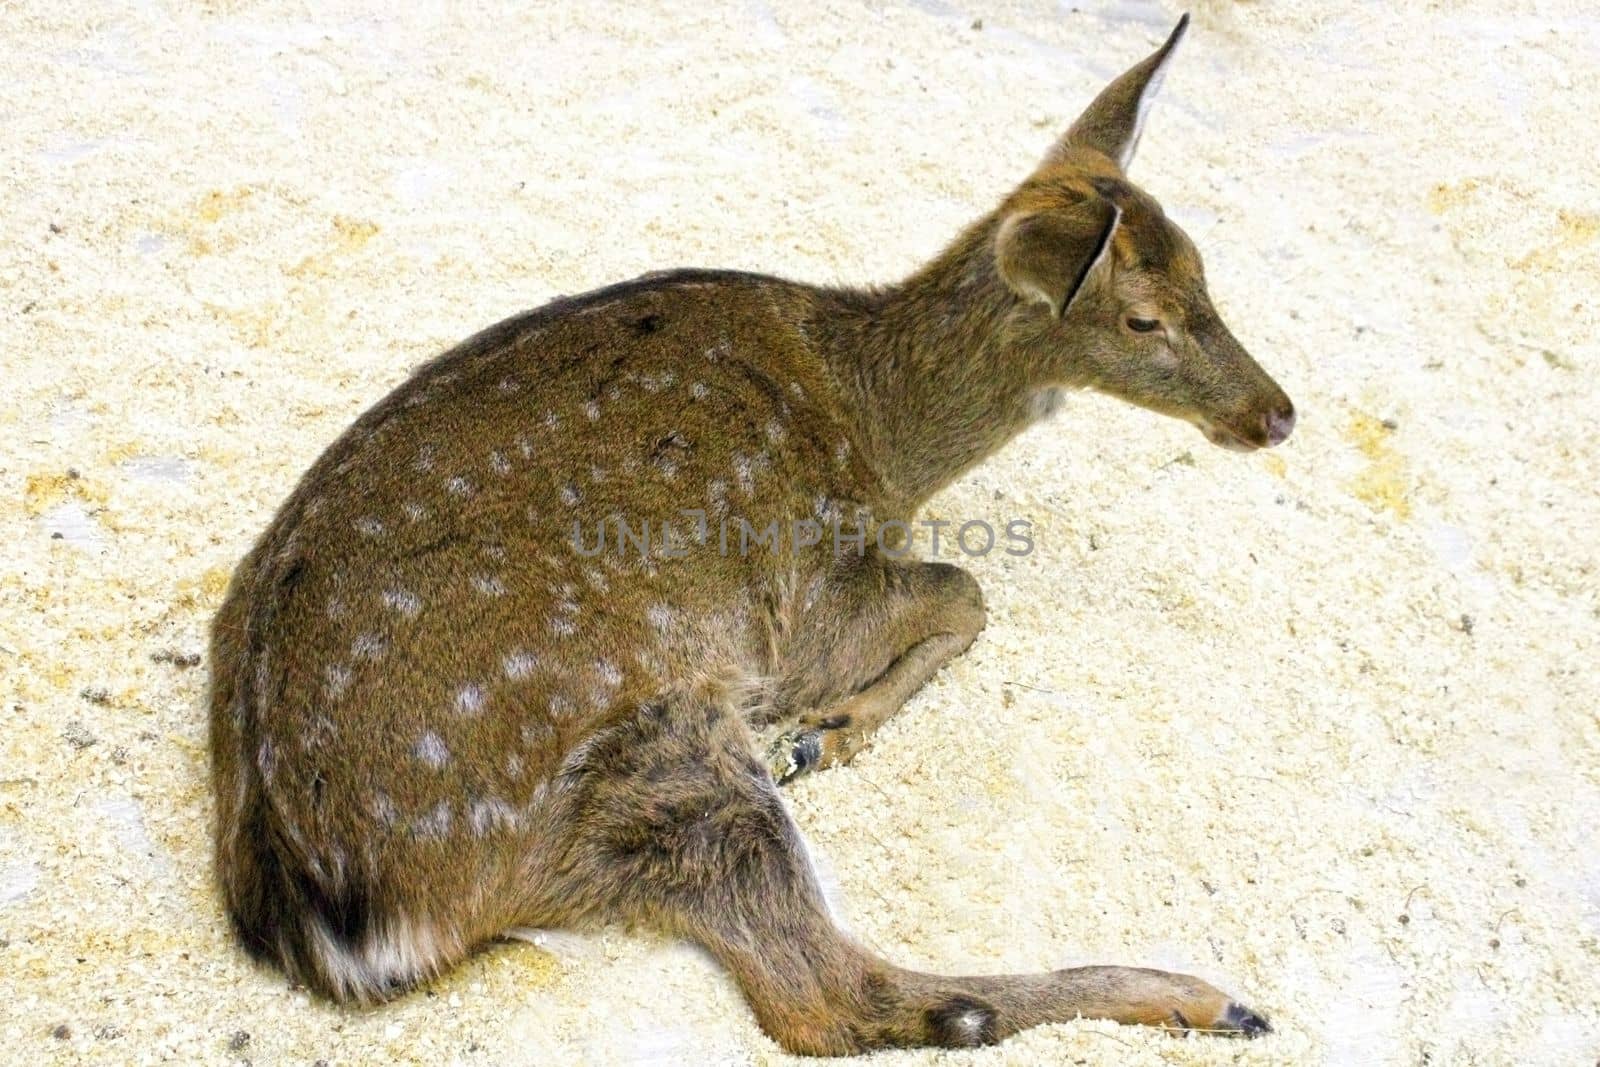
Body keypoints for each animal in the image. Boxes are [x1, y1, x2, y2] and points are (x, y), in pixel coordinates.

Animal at [206, 12, 1292, 1055]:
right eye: (1143, 318)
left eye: (1206, 273)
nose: (1276, 413)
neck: (882, 436)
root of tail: (345, 926)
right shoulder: (809, 601)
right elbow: (965, 588)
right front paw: (825, 728)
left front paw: (834, 730)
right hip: (661, 740)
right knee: (838, 996)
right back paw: (1213, 998)